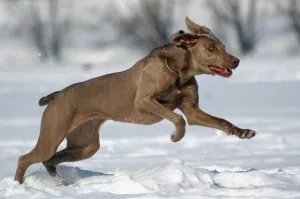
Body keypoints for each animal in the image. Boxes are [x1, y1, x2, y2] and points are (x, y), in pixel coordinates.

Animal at [14, 16, 255, 183]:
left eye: (224, 46)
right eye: (211, 48)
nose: (236, 60)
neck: (179, 71)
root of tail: (56, 95)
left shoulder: (192, 110)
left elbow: (219, 121)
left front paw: (243, 132)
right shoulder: (144, 101)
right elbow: (178, 118)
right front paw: (176, 136)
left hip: (86, 144)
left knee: (50, 159)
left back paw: (59, 181)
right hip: (53, 132)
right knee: (26, 158)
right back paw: (19, 185)